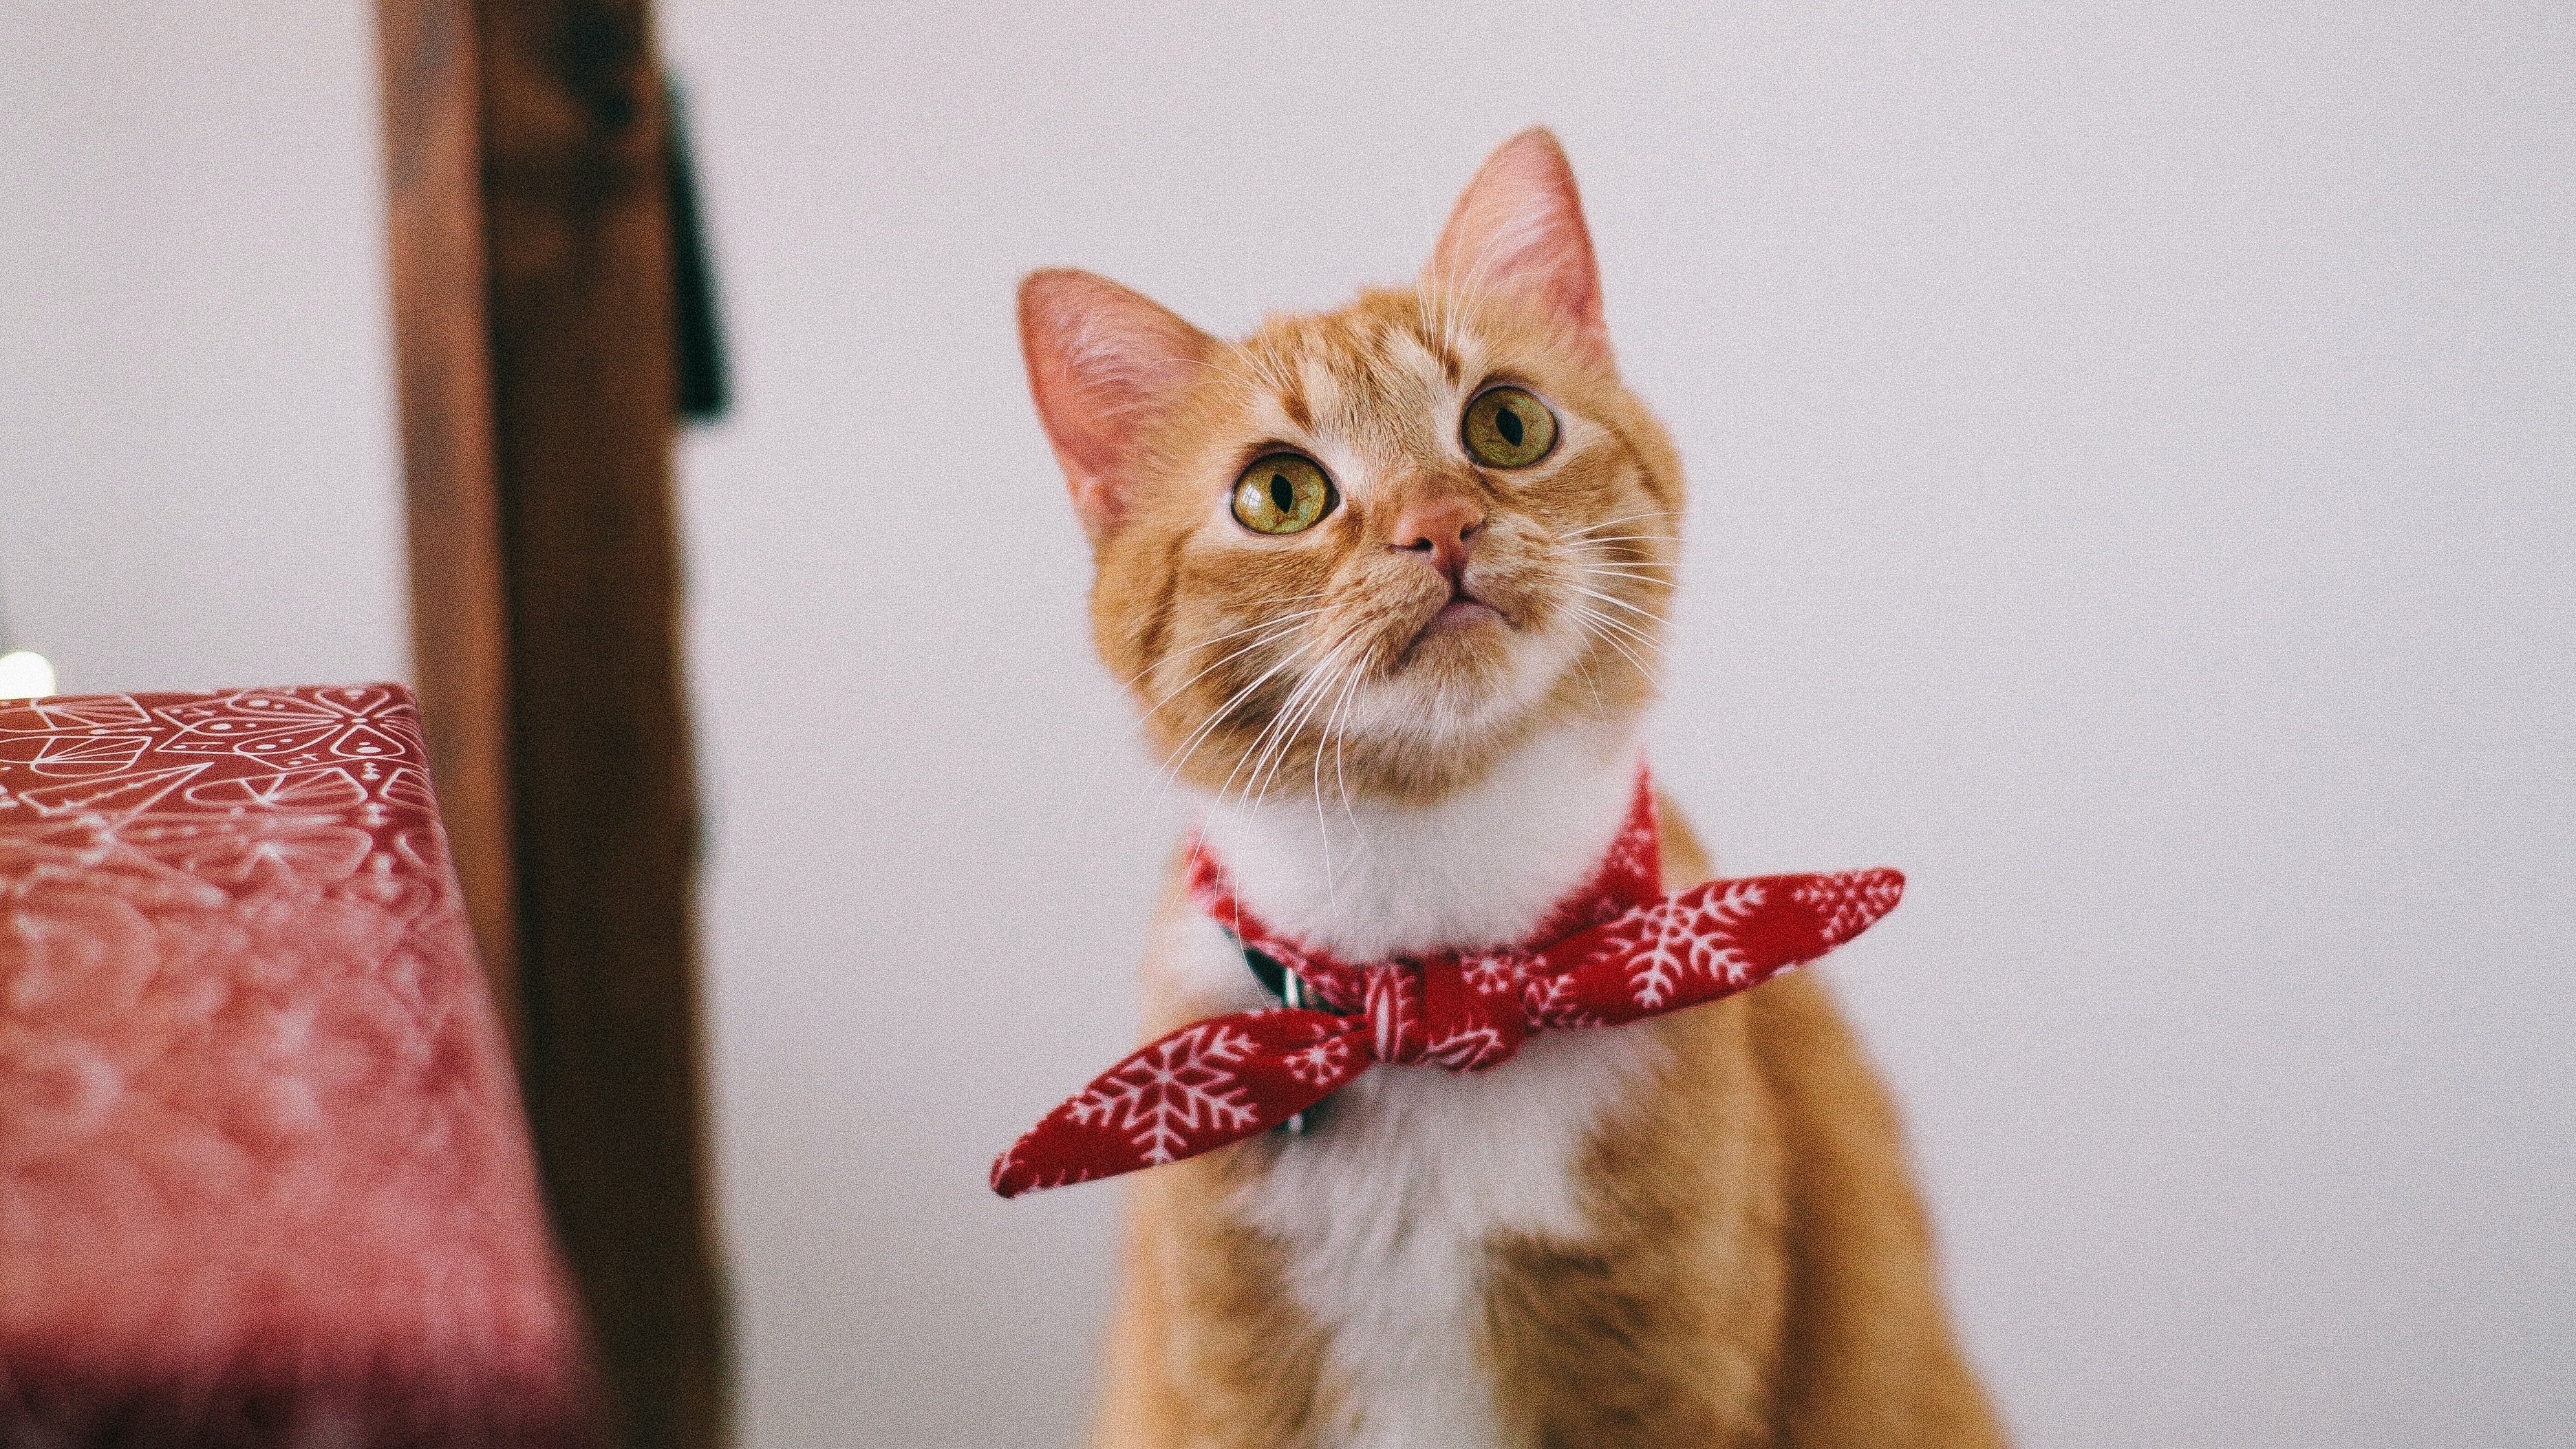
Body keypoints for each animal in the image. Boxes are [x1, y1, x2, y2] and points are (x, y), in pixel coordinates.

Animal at [1015, 129, 1999, 1433]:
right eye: (1279, 493)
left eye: (1507, 425)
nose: (1439, 524)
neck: (1441, 987)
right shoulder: (1237, 1380)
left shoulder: (1662, 1372)